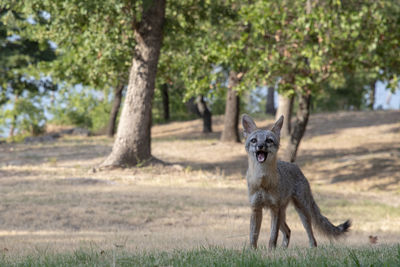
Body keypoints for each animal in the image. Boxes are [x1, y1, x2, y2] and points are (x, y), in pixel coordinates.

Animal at [241, 114, 350, 249]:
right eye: (254, 140)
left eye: (268, 140)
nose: (260, 146)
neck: (263, 182)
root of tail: (295, 166)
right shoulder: (256, 208)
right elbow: (253, 236)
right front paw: (253, 251)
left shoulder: (274, 208)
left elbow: (272, 237)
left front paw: (271, 251)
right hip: (283, 214)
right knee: (288, 230)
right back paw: (283, 250)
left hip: (301, 211)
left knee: (311, 237)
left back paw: (311, 249)